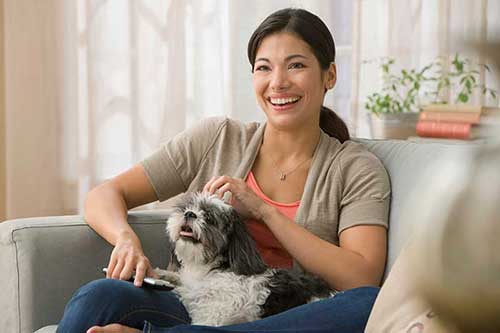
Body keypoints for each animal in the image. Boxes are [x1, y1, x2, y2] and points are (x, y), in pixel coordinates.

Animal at [156, 191, 334, 326]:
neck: (208, 268)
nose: (189, 214)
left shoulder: (212, 317)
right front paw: (162, 274)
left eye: (209, 217)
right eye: (185, 208)